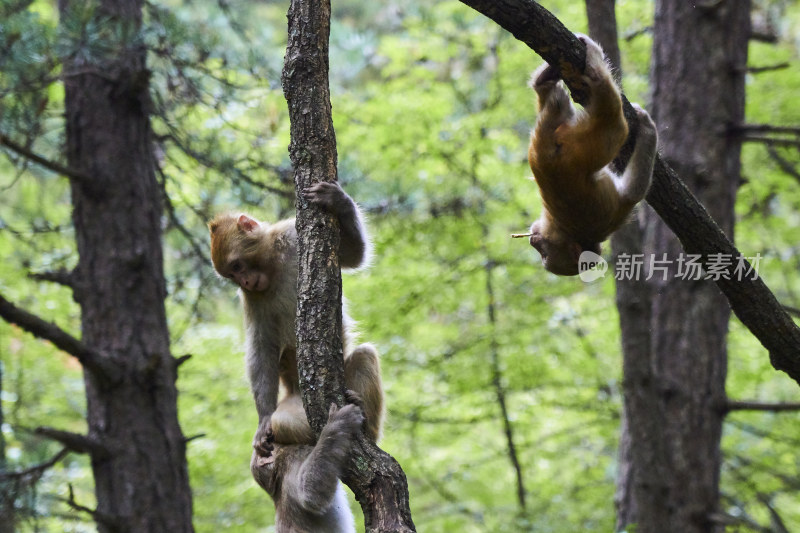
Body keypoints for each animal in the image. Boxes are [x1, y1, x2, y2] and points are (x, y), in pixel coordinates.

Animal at [205, 181, 382, 450]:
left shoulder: (293, 235)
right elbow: (262, 346)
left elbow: (354, 255)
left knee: (364, 354)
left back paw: (365, 423)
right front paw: (263, 419)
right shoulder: (251, 297)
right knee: (282, 422)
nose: (244, 281)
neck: (273, 264)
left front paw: (339, 201)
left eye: (236, 267)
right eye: (232, 276)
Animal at [524, 34, 656, 274]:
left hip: (579, 144)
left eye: (542, 252)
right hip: (582, 145)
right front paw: (648, 128)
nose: (532, 239)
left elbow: (632, 192)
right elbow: (633, 192)